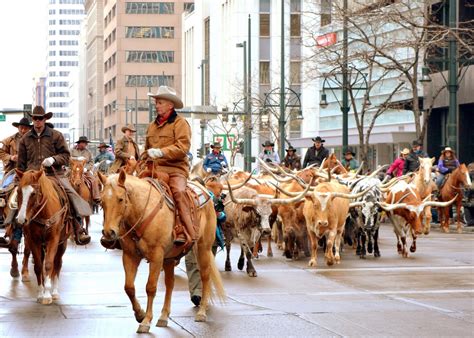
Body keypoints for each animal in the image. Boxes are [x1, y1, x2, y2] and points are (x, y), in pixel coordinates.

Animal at [14, 169, 71, 304]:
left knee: (58, 263)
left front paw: (47, 295)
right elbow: (39, 266)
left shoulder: (53, 240)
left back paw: (54, 292)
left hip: (62, 244)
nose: (21, 219)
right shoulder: (34, 241)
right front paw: (41, 293)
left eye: (33, 193)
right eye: (18, 191)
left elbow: (49, 264)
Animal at [98, 170, 226, 334]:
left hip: (204, 248)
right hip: (170, 258)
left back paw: (202, 312)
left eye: (120, 199)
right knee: (170, 283)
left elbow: (150, 287)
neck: (143, 212)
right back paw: (164, 316)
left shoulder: (156, 257)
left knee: (205, 277)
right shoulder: (129, 256)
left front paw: (146, 321)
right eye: (101, 202)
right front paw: (140, 314)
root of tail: (205, 191)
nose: (109, 233)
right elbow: (129, 287)